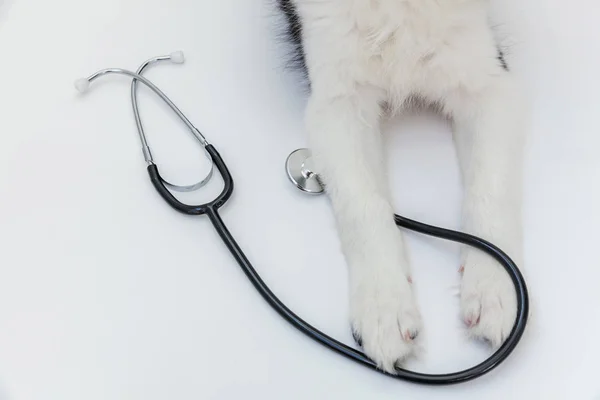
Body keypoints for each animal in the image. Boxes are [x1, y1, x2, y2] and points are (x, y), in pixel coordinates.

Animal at [276, 0, 524, 376]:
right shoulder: (336, 101)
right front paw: (383, 308)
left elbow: (489, 191)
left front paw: (492, 287)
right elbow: (364, 205)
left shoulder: (487, 82)